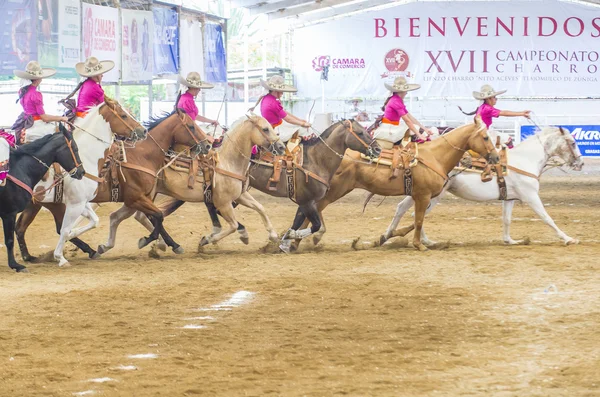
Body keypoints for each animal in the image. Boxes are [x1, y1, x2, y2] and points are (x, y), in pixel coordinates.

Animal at [0, 125, 85, 270]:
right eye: (75, 148)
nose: (81, 172)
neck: (19, 170)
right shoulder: (9, 213)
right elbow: (9, 240)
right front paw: (15, 265)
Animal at [15, 110, 212, 262]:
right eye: (192, 126)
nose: (208, 144)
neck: (142, 156)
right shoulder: (135, 198)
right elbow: (157, 217)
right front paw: (149, 241)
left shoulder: (139, 199)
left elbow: (150, 218)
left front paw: (169, 244)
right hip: (55, 204)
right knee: (57, 227)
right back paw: (86, 250)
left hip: (36, 204)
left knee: (21, 227)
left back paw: (29, 256)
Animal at [292, 115, 500, 251]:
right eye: (485, 137)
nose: (496, 157)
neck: (434, 156)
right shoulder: (423, 196)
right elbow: (418, 220)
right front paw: (418, 245)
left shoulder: (420, 196)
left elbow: (415, 220)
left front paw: (389, 237)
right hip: (334, 192)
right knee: (312, 212)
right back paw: (300, 239)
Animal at [382, 126, 584, 244]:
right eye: (573, 143)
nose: (580, 163)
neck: (524, 160)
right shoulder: (531, 196)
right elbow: (547, 217)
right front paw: (567, 238)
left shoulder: (510, 198)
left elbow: (507, 219)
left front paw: (510, 240)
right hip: (433, 195)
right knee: (417, 213)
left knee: (403, 208)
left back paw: (389, 236)